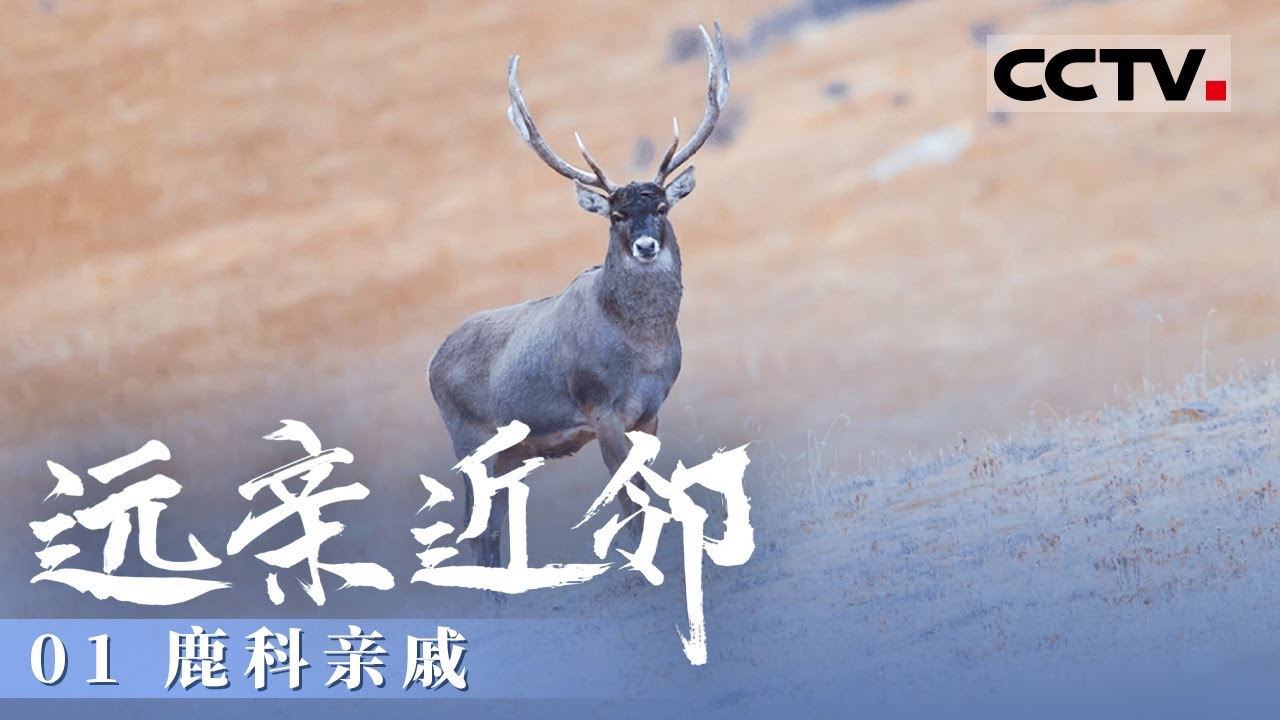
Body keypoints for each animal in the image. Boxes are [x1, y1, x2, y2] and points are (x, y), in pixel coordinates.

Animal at [427, 22, 730, 568]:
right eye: (616, 215)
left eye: (662, 207)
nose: (646, 246)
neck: (642, 351)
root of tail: (431, 363)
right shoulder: (601, 410)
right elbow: (627, 504)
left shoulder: (650, 412)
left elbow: (646, 495)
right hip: (469, 441)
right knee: (475, 529)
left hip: (510, 454)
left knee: (493, 528)